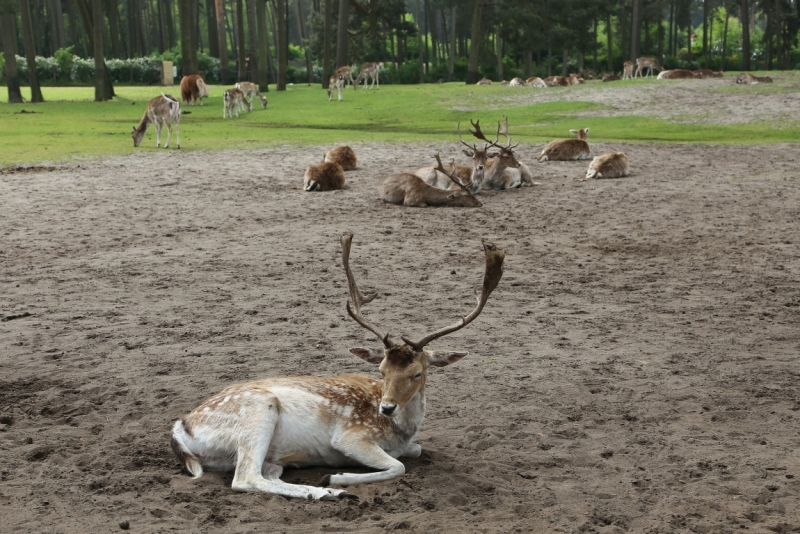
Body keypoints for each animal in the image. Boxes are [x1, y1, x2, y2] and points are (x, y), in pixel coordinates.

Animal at [170, 234, 506, 502]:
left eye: (417, 373)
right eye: (381, 370)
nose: (386, 408)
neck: (401, 431)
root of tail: (180, 427)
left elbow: (416, 450)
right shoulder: (350, 436)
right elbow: (398, 465)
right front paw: (334, 475)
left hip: (264, 453)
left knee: (266, 475)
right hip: (257, 413)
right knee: (245, 478)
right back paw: (331, 490)